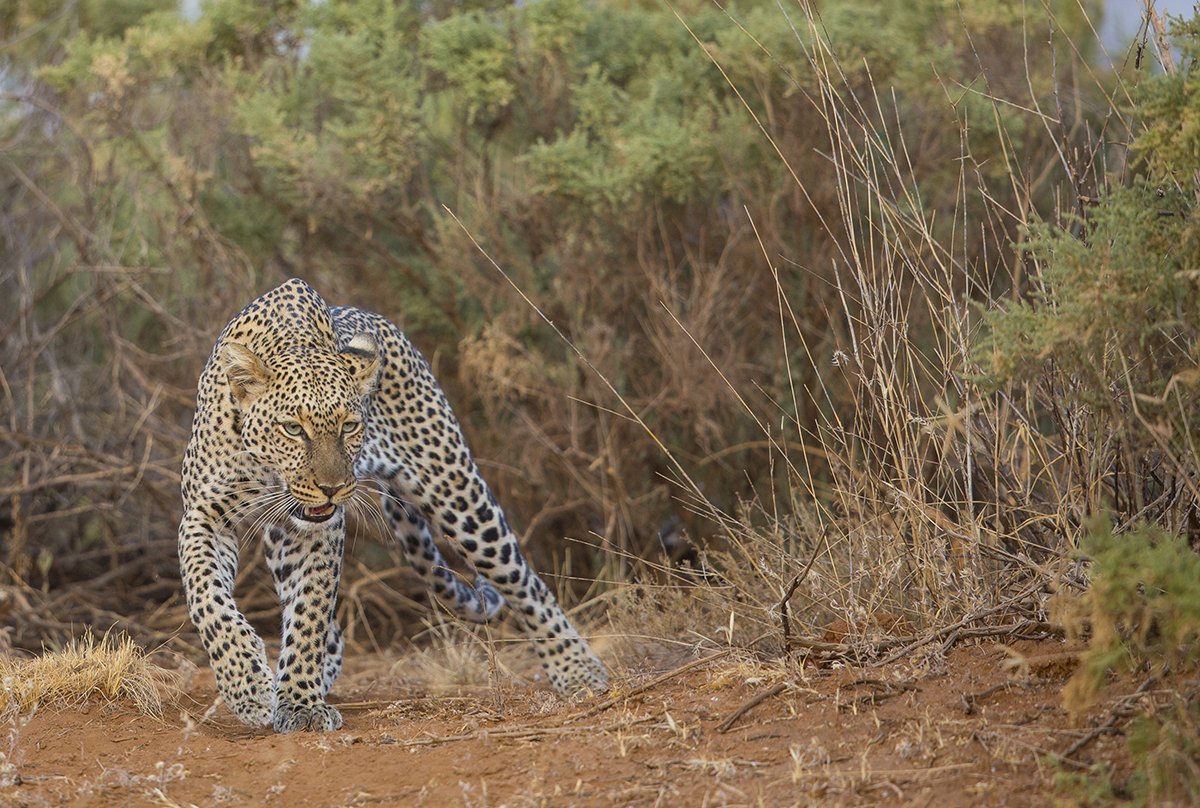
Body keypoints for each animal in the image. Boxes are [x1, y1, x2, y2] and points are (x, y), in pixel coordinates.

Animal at [175, 277, 609, 729]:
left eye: (350, 425)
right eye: (293, 428)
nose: (331, 487)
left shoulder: (321, 533)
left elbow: (310, 613)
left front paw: (299, 704)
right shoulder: (204, 516)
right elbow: (208, 601)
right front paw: (248, 686)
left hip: (459, 495)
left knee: (525, 581)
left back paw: (578, 669)